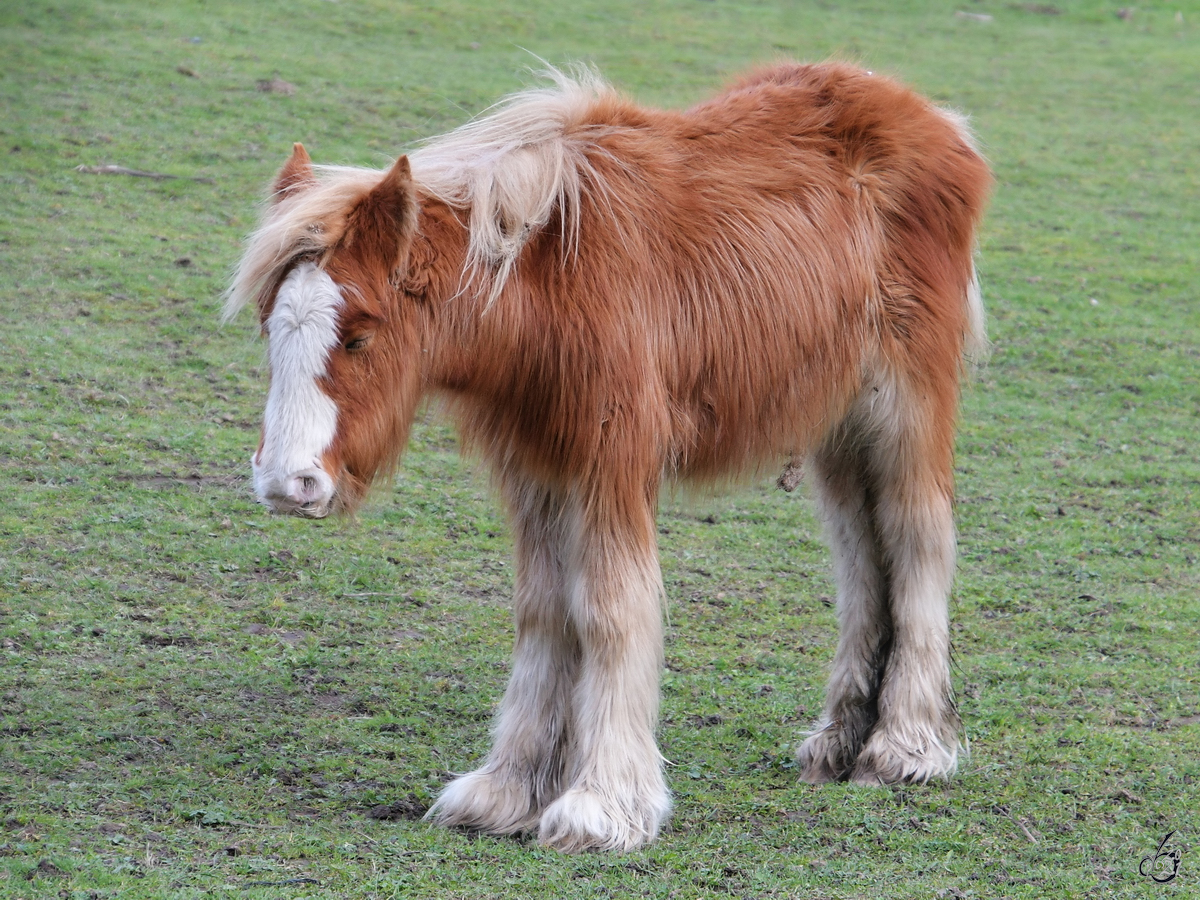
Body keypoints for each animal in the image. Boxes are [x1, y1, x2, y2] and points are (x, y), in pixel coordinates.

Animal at [226, 61, 993, 854]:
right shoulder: (537, 466)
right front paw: (510, 789)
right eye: (268, 326)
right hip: (838, 428)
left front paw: (604, 804)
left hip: (903, 409)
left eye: (360, 335)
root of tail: (939, 122)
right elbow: (544, 611)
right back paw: (841, 742)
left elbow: (609, 609)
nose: (286, 482)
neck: (547, 281)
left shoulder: (613, 462)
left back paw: (904, 747)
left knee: (915, 539)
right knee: (861, 557)